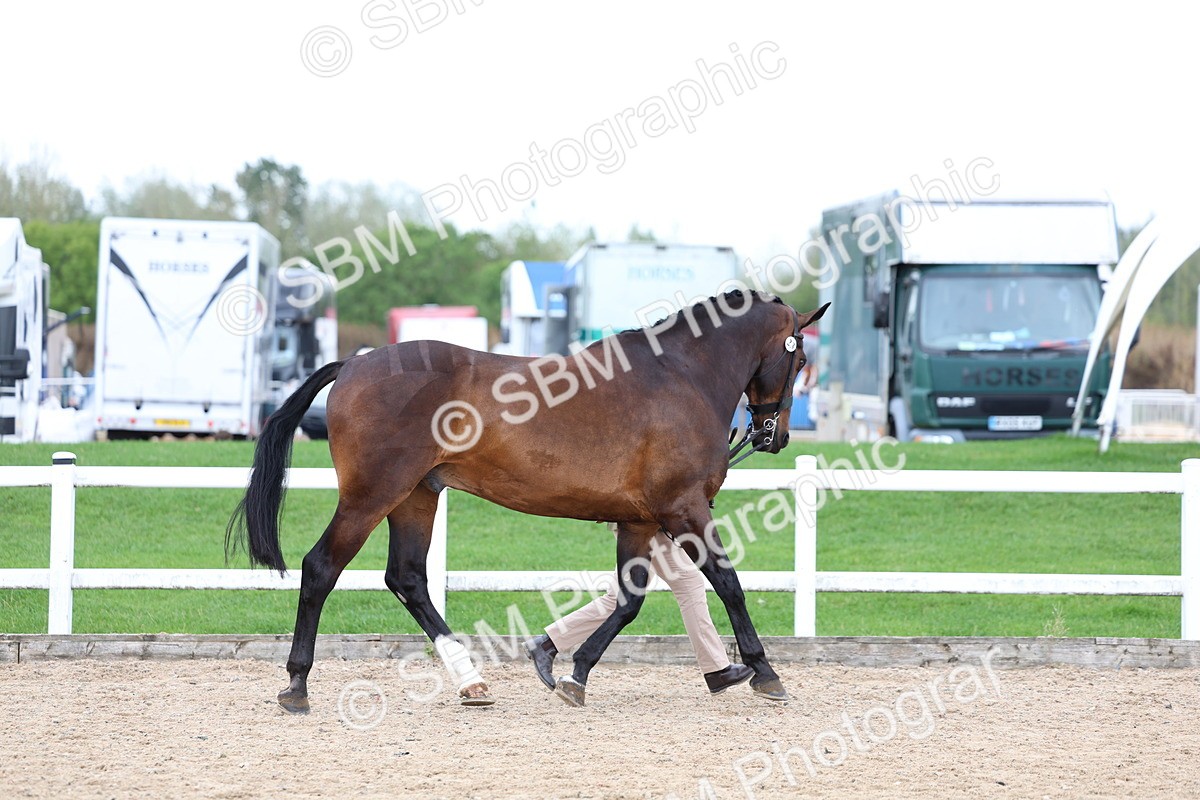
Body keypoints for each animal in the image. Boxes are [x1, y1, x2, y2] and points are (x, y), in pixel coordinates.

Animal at [227, 289, 829, 710]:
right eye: (799, 360)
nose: (776, 436)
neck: (682, 377)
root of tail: (353, 363)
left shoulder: (639, 520)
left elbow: (628, 600)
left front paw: (572, 671)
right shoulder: (684, 509)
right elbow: (728, 583)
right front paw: (764, 672)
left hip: (416, 497)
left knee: (408, 579)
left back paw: (472, 682)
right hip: (371, 495)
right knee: (321, 567)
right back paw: (297, 685)